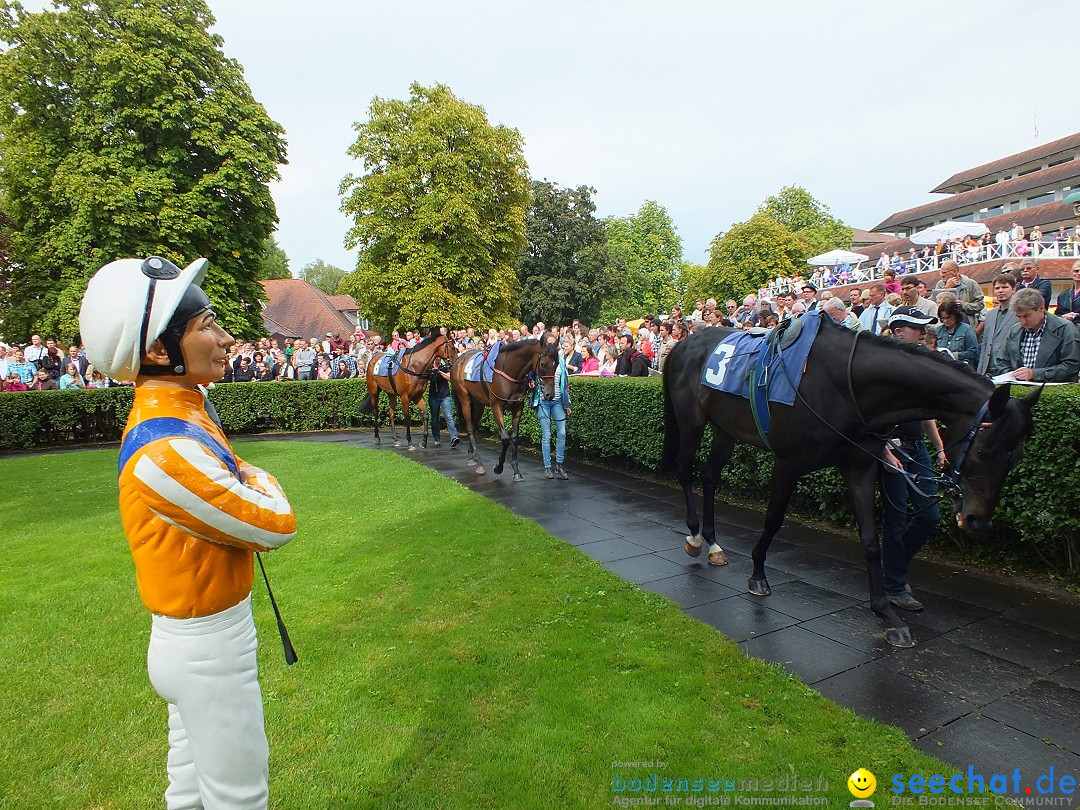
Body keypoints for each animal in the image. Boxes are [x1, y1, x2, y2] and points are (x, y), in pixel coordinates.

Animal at [451, 336, 561, 481]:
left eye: (557, 364)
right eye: (543, 364)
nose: (550, 394)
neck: (509, 372)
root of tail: (458, 360)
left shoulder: (518, 406)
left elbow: (515, 437)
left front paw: (516, 471)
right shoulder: (496, 406)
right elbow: (505, 438)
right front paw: (498, 467)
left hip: (479, 402)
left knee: (473, 427)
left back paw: (471, 456)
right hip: (464, 398)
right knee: (469, 428)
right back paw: (479, 463)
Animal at [656, 315, 1036, 648]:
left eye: (1015, 456)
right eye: (984, 451)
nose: (977, 520)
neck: (844, 382)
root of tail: (684, 343)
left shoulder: (861, 467)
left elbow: (870, 540)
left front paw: (888, 615)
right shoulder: (788, 462)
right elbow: (774, 519)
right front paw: (759, 574)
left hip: (725, 429)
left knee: (709, 477)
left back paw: (714, 543)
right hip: (691, 422)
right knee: (686, 472)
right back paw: (694, 536)